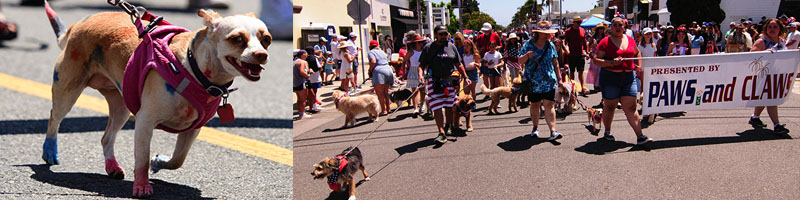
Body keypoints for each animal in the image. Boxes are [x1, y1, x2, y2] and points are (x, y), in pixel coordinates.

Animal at [43, 7, 272, 197]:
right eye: (237, 39)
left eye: (267, 39)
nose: (261, 54)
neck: (193, 69)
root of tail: (79, 24)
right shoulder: (145, 122)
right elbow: (142, 160)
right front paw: (142, 186)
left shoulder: (193, 129)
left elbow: (178, 159)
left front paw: (159, 161)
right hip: (68, 90)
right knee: (54, 118)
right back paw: (50, 151)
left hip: (121, 107)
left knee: (106, 137)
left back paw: (112, 167)